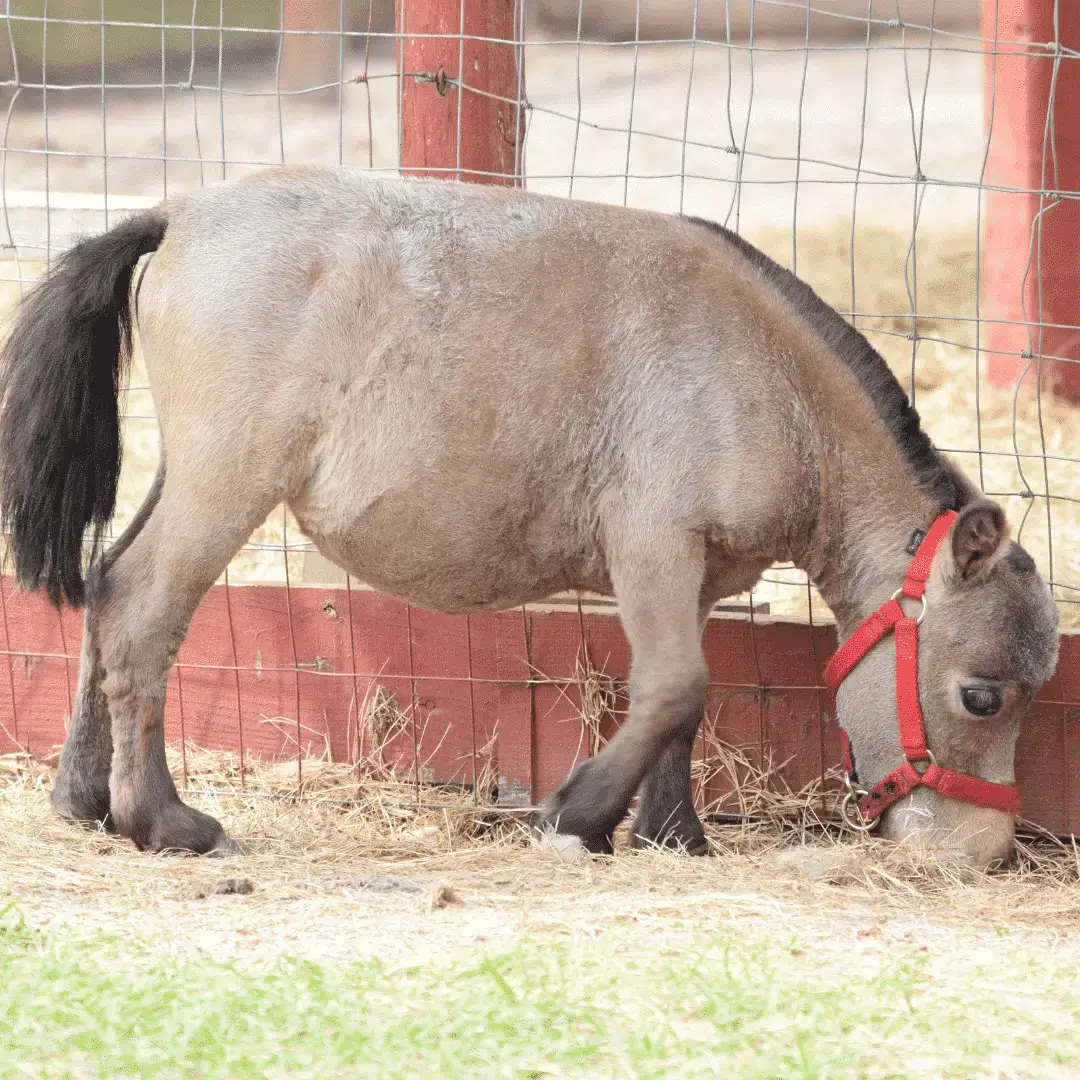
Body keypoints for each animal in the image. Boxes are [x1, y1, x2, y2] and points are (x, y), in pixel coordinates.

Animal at [0, 166, 1059, 868]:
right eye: (982, 698)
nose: (984, 851)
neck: (767, 380)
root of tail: (179, 216)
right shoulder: (652, 550)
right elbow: (673, 689)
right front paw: (581, 814)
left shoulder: (699, 578)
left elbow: (686, 706)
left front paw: (674, 833)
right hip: (225, 487)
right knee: (143, 610)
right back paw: (161, 820)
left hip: (188, 481)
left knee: (106, 589)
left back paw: (83, 796)